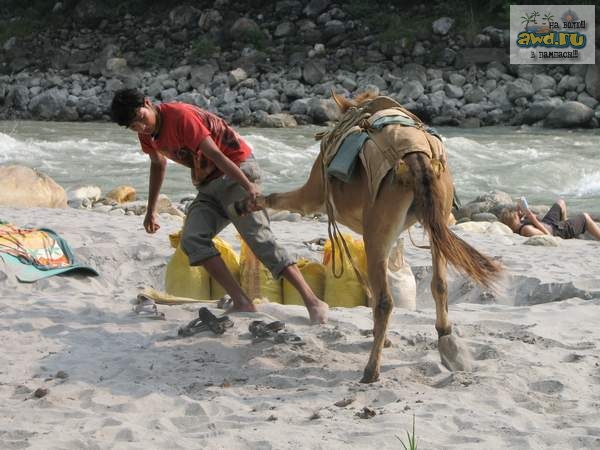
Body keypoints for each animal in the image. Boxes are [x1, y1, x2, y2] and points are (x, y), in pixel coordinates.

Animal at [251, 92, 500, 384]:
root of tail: (415, 158)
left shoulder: (311, 198)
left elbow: (276, 197)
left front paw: (251, 200)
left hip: (376, 237)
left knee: (385, 302)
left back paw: (371, 370)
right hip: (432, 229)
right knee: (439, 285)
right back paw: (446, 339)